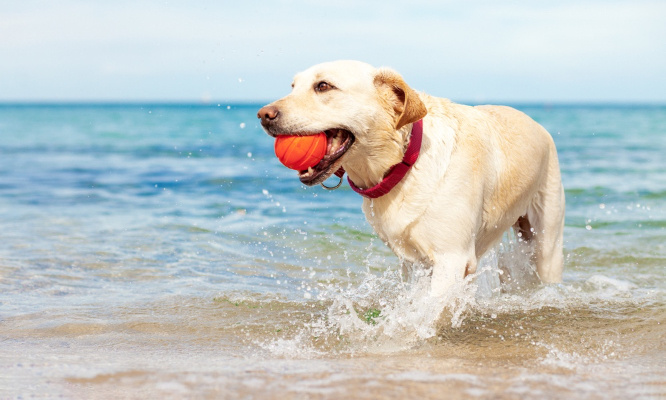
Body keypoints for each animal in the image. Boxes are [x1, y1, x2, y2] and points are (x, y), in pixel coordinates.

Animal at [256, 60, 564, 296]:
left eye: (323, 86)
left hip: (547, 243)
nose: (263, 115)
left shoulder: (452, 258)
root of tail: (537, 123)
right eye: (293, 86)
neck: (404, 162)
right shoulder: (413, 263)